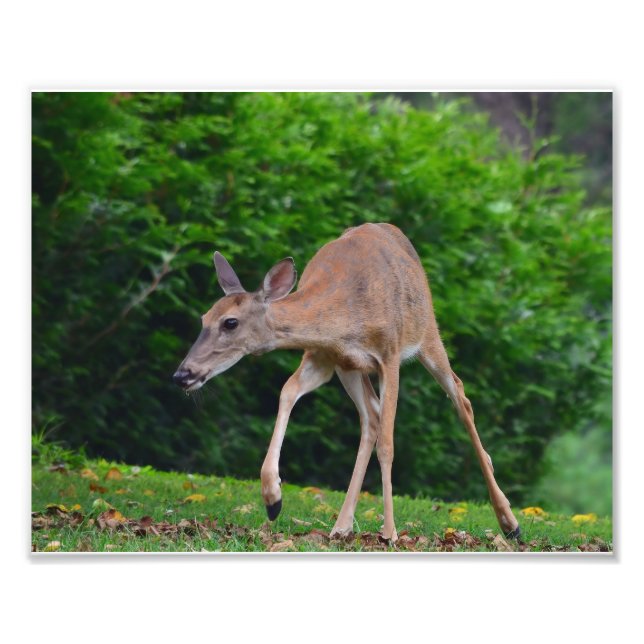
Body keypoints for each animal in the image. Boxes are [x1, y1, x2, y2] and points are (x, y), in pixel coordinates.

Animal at [172, 222, 521, 542]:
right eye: (203, 319)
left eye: (230, 322)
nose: (182, 374)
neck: (344, 318)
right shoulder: (324, 357)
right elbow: (287, 392)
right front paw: (272, 497)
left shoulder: (389, 355)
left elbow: (389, 444)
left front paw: (390, 532)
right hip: (351, 370)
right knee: (371, 417)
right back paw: (341, 526)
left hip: (427, 335)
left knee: (460, 397)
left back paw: (509, 521)